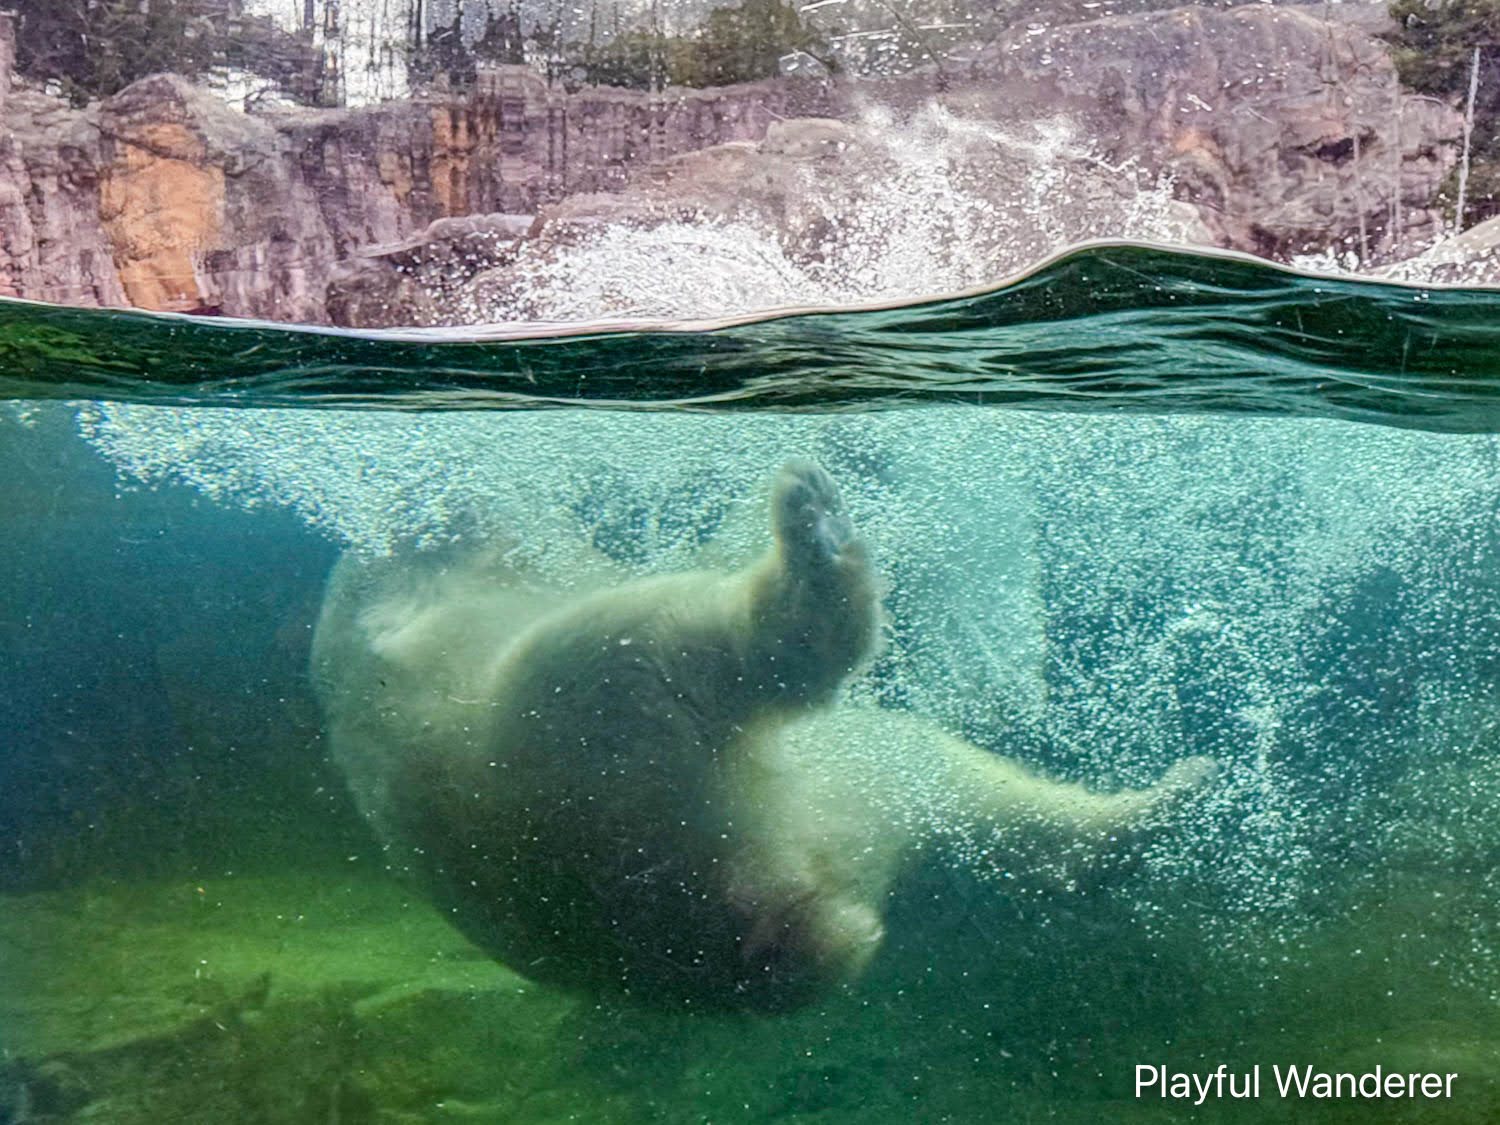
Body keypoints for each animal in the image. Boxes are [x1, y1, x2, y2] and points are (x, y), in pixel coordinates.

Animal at [311, 460, 1215, 1012]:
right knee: (694, 632)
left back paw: (1166, 800)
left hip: (814, 784)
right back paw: (814, 533)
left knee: (951, 788)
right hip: (567, 708)